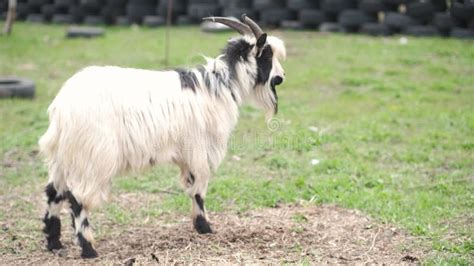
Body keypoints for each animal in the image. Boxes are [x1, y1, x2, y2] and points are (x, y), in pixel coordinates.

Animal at [38, 14, 286, 258]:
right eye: (267, 54)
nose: (281, 77)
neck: (221, 85)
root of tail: (62, 107)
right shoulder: (199, 150)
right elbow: (199, 189)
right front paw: (204, 227)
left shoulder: (187, 156)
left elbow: (192, 186)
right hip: (94, 156)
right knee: (78, 198)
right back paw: (88, 248)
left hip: (65, 156)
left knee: (54, 192)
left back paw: (54, 243)